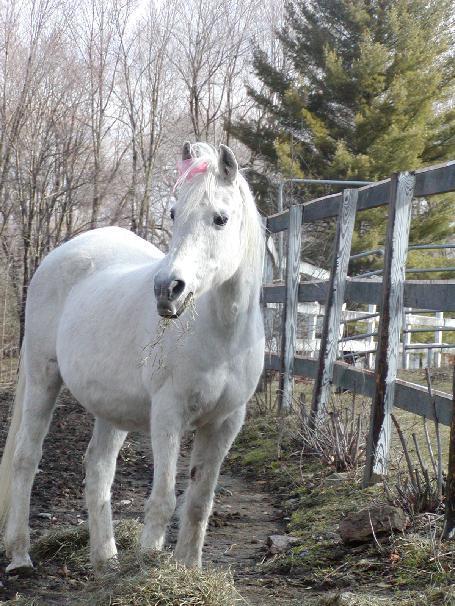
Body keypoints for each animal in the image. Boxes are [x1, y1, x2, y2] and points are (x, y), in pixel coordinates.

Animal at [0, 142, 266, 576]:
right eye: (174, 213)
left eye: (220, 218)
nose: (168, 289)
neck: (220, 334)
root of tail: (60, 255)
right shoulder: (168, 414)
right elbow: (164, 500)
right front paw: (149, 565)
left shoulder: (226, 423)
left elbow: (199, 503)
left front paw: (187, 571)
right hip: (43, 379)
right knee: (27, 457)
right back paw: (21, 555)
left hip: (111, 408)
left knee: (98, 468)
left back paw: (104, 557)